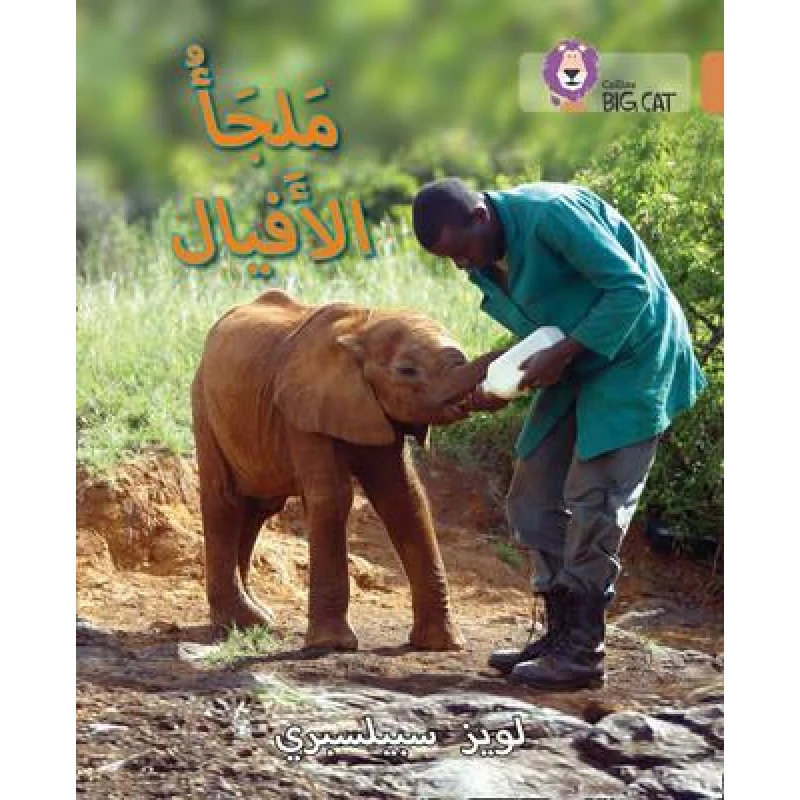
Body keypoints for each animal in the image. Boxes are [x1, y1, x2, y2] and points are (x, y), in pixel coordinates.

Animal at [191, 289, 500, 652]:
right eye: (407, 370)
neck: (362, 329)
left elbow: (404, 499)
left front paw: (442, 645)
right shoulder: (302, 412)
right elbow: (334, 497)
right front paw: (332, 646)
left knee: (257, 508)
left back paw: (258, 618)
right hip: (204, 404)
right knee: (225, 501)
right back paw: (240, 624)